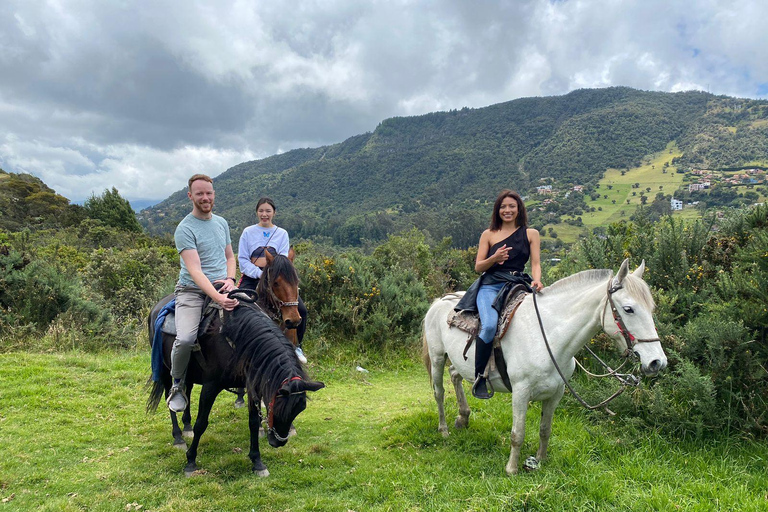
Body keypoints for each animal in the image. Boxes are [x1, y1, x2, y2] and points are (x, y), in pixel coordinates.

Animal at [146, 294, 320, 478]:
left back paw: (186, 427)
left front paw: (257, 461)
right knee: (170, 398)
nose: (278, 442)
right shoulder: (211, 386)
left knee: (187, 390)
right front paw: (191, 461)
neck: (239, 337)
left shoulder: (252, 386)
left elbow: (253, 422)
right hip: (166, 370)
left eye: (299, 410)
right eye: (278, 408)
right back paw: (178, 437)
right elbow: (201, 423)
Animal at [424, 260, 668, 476]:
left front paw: (540, 460)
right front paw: (511, 469)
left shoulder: (556, 393)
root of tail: (440, 300)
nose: (657, 362)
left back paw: (463, 418)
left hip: (462, 363)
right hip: (437, 358)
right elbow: (518, 433)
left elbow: (545, 429)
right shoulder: (520, 392)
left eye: (651, 307)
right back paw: (444, 430)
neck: (548, 336)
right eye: (628, 309)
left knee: (455, 376)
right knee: (439, 392)